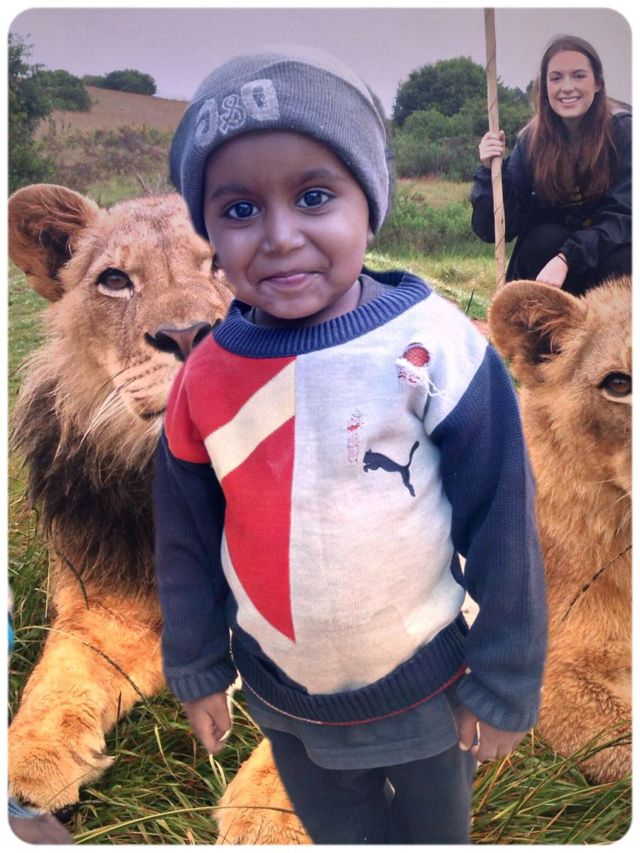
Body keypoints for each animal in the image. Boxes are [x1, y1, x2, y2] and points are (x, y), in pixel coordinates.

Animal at [8, 183, 233, 811]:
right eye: (114, 280)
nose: (187, 335)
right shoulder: (108, 605)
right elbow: (60, 676)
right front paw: (30, 763)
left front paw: (271, 817)